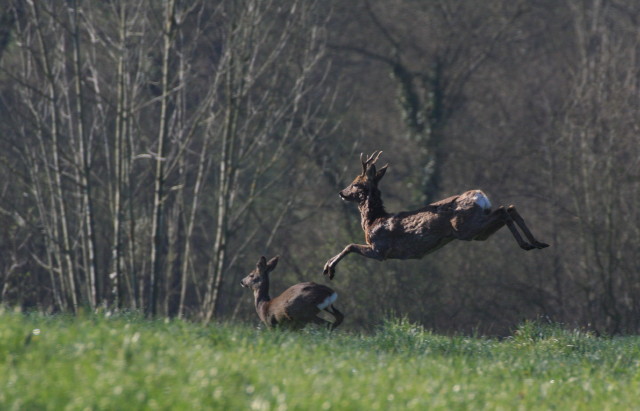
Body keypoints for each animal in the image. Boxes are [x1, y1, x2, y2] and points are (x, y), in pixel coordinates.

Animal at [324, 151, 552, 280]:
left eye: (356, 183)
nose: (341, 192)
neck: (373, 221)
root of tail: (480, 196)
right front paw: (328, 267)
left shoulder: (381, 249)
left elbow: (350, 246)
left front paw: (329, 269)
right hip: (478, 231)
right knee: (509, 208)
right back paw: (537, 243)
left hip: (466, 228)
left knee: (505, 211)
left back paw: (528, 244)